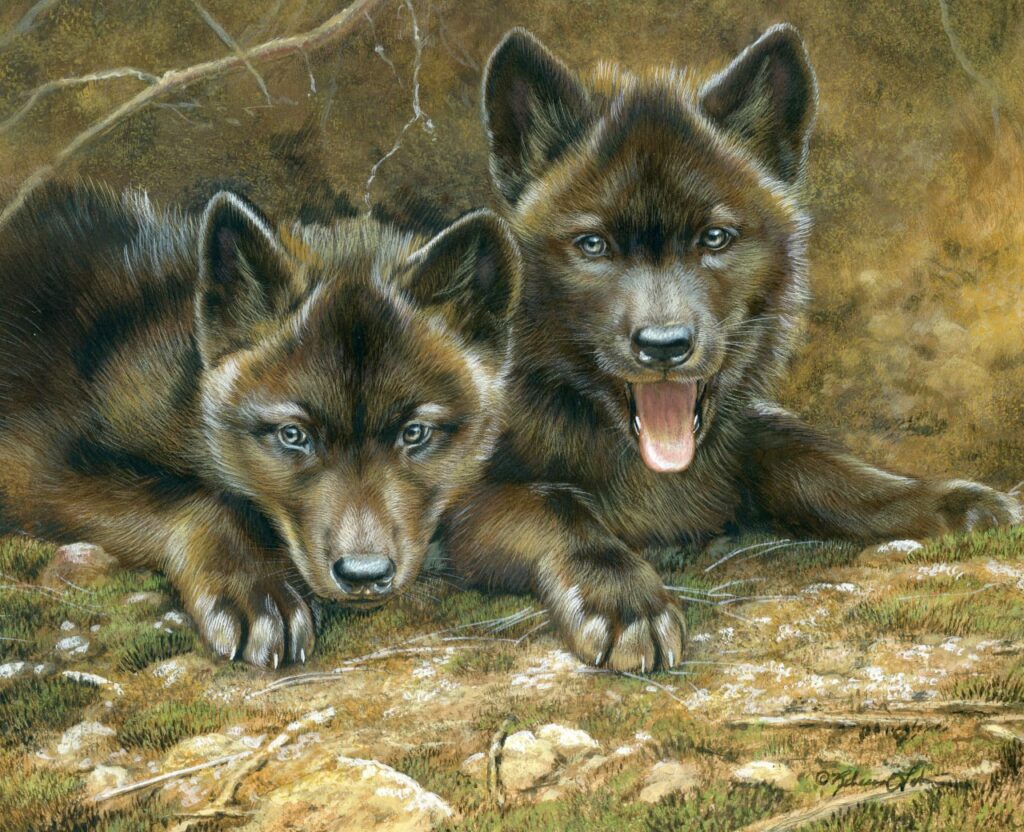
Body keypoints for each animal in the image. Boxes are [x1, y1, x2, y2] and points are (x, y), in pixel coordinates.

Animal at [0, 181, 520, 668]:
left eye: (414, 433)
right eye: (294, 435)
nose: (363, 574)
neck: (184, 399)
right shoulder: (36, 462)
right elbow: (192, 498)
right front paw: (257, 593)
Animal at [442, 25, 1021, 672]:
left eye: (715, 238)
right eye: (593, 245)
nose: (664, 346)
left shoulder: (752, 437)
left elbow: (829, 470)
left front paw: (948, 500)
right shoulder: (459, 505)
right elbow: (557, 509)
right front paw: (625, 601)